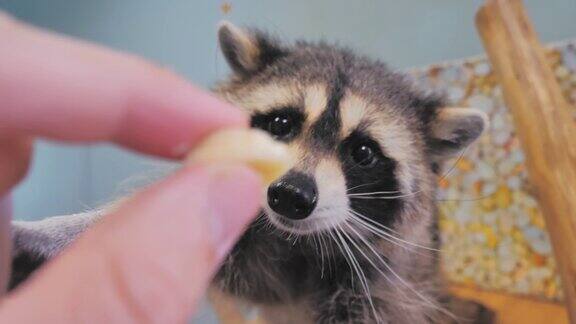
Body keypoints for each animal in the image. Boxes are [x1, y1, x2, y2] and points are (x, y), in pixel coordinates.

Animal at [11, 22, 492, 324]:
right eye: (281, 123)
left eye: (362, 152)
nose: (291, 196)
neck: (298, 242)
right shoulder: (258, 252)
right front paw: (56, 234)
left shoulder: (390, 275)